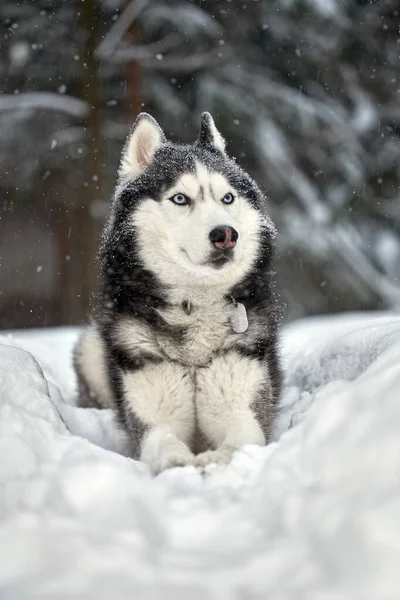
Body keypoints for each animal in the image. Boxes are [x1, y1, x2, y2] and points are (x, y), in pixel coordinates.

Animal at [75, 111, 282, 474]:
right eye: (180, 198)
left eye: (228, 198)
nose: (226, 235)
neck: (195, 304)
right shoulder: (155, 420)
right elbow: (166, 445)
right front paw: (181, 464)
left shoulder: (243, 410)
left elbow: (238, 444)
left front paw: (214, 459)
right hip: (90, 348)